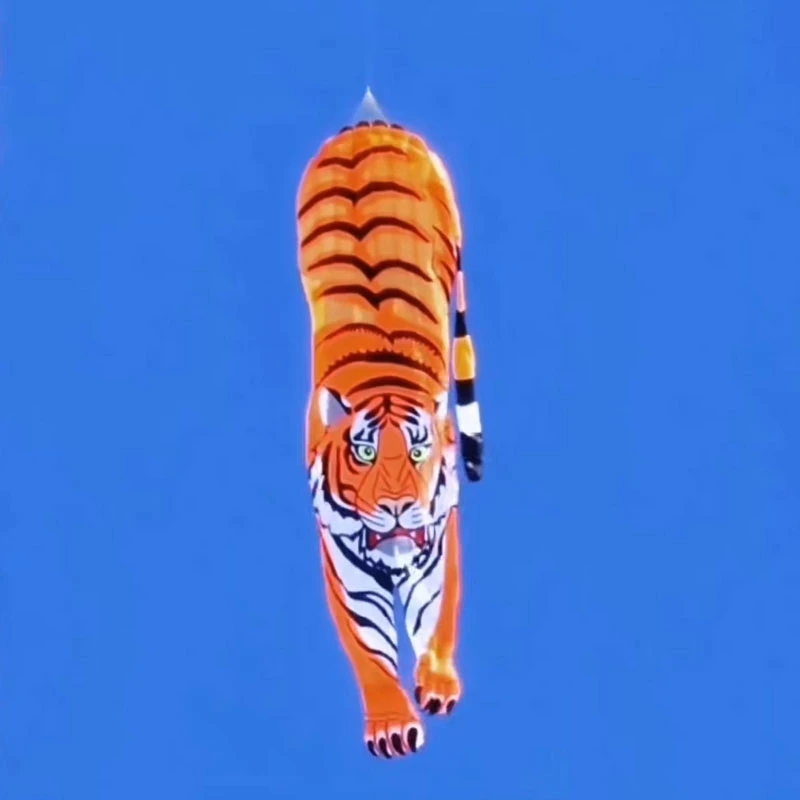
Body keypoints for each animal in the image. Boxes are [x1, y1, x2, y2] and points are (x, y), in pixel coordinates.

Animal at [296, 92, 483, 759]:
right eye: (364, 453)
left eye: (420, 451)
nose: (400, 507)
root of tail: (371, 121)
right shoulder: (342, 566)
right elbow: (369, 649)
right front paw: (393, 725)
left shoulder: (442, 539)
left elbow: (439, 614)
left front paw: (437, 685)